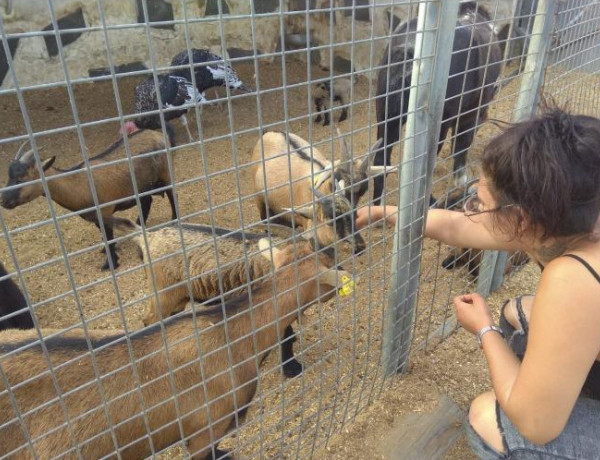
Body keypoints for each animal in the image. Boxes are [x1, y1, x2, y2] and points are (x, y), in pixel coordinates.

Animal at [0, 130, 177, 270]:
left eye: (21, 179)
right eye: (9, 177)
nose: (3, 201)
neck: (80, 182)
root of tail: (158, 134)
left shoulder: (105, 212)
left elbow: (108, 236)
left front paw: (110, 263)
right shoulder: (96, 217)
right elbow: (105, 236)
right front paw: (107, 251)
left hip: (166, 173)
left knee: (171, 196)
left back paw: (173, 221)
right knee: (146, 202)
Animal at [376, 0, 506, 205]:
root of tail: (410, 50)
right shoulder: (470, 115)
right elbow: (462, 145)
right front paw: (462, 180)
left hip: (386, 117)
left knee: (380, 161)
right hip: (437, 128)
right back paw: (432, 202)